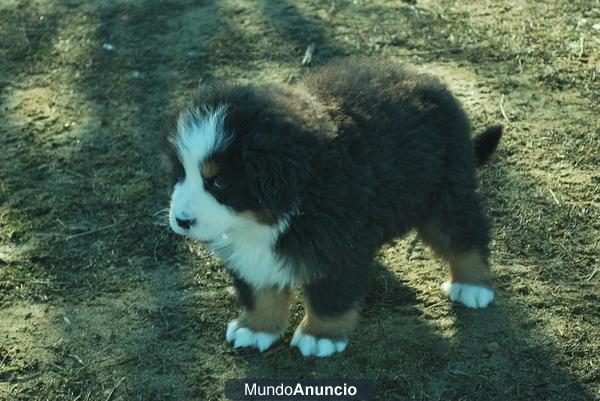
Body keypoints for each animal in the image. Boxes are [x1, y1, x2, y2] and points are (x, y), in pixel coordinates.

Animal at [163, 58, 502, 356]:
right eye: (180, 173)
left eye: (219, 182)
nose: (181, 220)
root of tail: (425, 79)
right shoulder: (249, 250)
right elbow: (258, 291)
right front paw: (257, 328)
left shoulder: (338, 247)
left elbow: (330, 296)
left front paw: (319, 336)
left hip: (445, 190)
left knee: (465, 234)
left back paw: (472, 285)